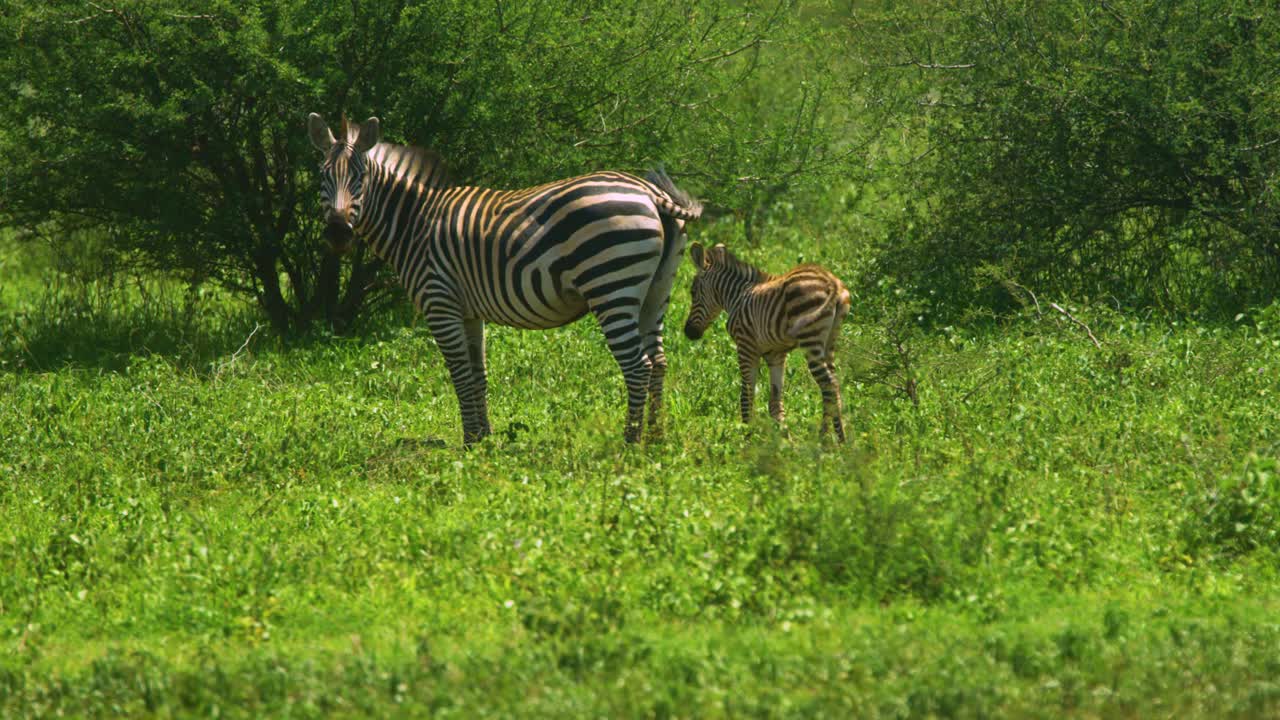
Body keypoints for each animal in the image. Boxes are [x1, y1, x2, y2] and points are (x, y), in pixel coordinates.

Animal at [307, 113, 701, 446]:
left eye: (360, 179)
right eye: (322, 177)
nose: (338, 233)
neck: (415, 222)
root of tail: (649, 192)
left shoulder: (440, 304)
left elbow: (460, 375)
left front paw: (469, 443)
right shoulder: (469, 311)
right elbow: (477, 373)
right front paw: (484, 438)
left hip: (610, 285)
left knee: (637, 366)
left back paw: (630, 442)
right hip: (656, 291)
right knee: (659, 362)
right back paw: (656, 438)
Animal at [682, 242, 852, 441]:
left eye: (693, 292)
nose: (688, 332)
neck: (736, 297)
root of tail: (832, 282)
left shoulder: (746, 346)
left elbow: (746, 395)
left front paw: (747, 437)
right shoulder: (775, 355)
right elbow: (775, 401)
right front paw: (784, 438)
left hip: (811, 340)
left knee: (829, 387)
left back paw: (828, 439)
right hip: (830, 341)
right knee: (833, 388)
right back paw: (832, 440)